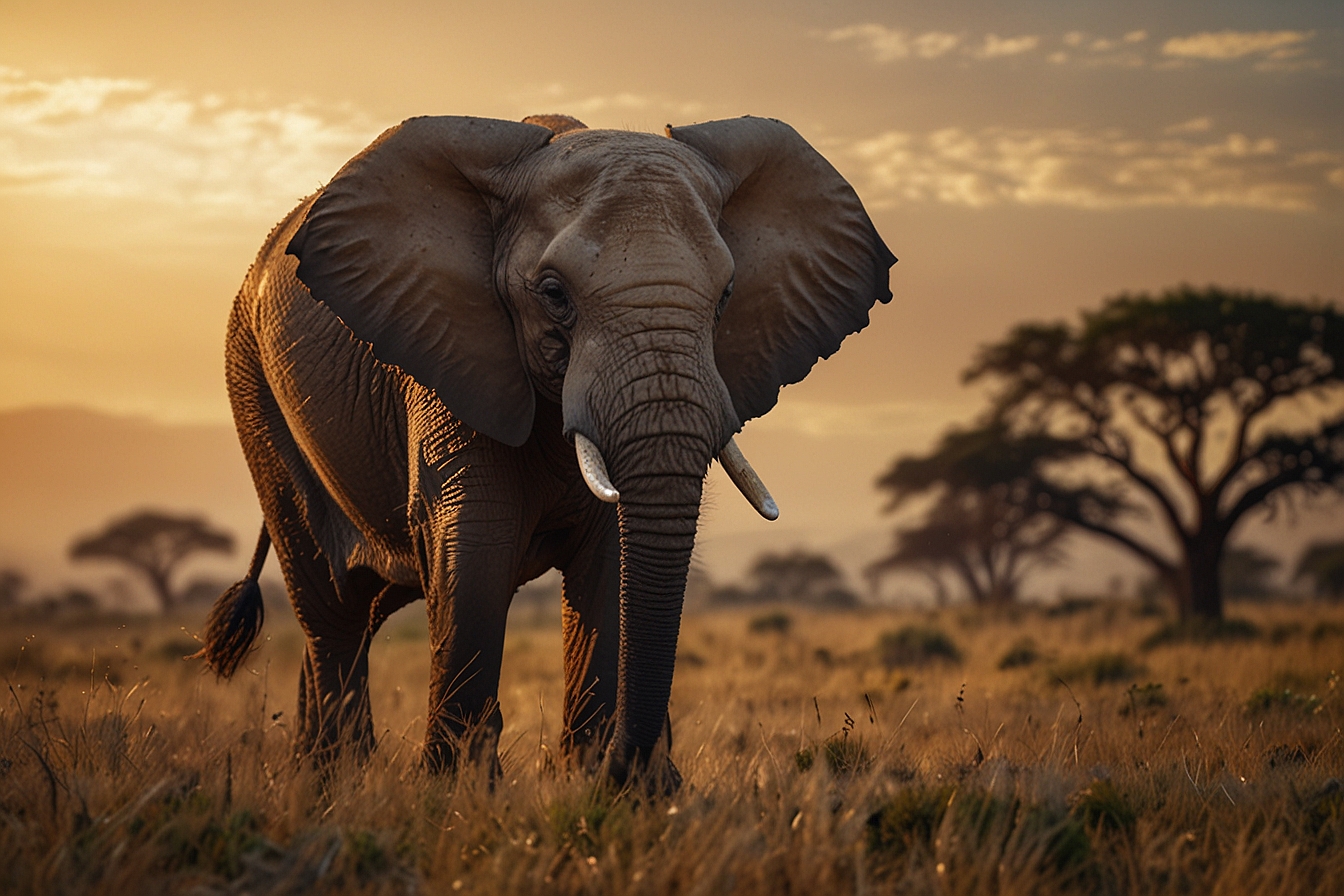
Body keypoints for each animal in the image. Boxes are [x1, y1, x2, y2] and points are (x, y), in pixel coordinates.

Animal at [197, 112, 895, 787]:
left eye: (726, 295)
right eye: (554, 294)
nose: (639, 770)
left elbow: (610, 560)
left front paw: (604, 788)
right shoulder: (452, 361)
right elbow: (474, 549)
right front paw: (457, 795)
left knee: (364, 610)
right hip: (255, 393)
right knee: (332, 610)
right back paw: (334, 783)